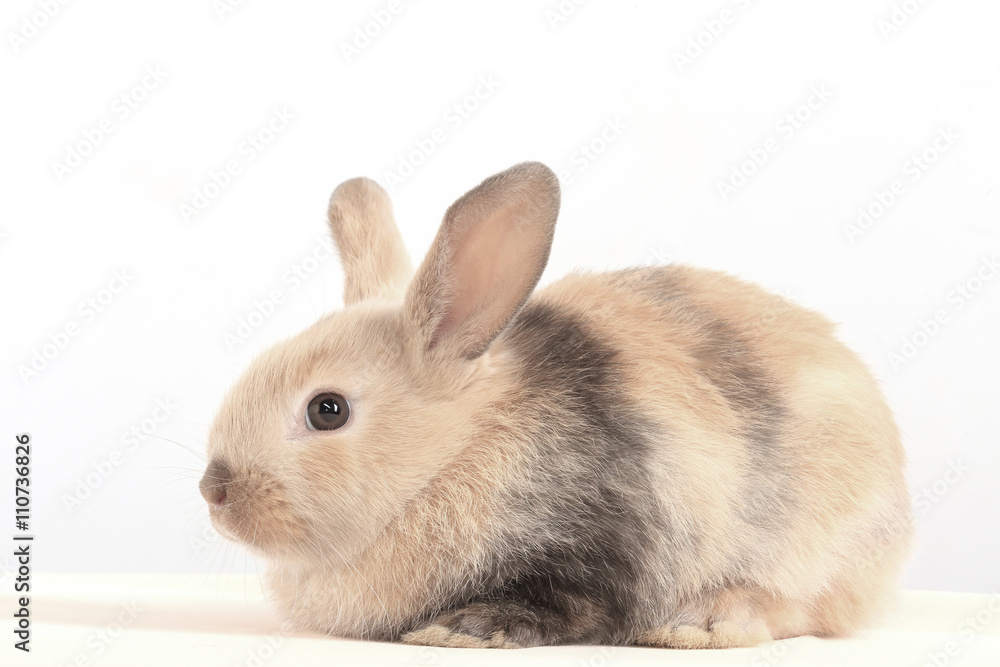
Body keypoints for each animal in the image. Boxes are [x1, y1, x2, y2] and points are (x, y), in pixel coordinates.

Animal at [198, 161, 913, 649]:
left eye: (328, 410)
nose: (214, 489)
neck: (454, 454)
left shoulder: (596, 548)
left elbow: (564, 605)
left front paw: (459, 631)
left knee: (805, 607)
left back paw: (701, 622)